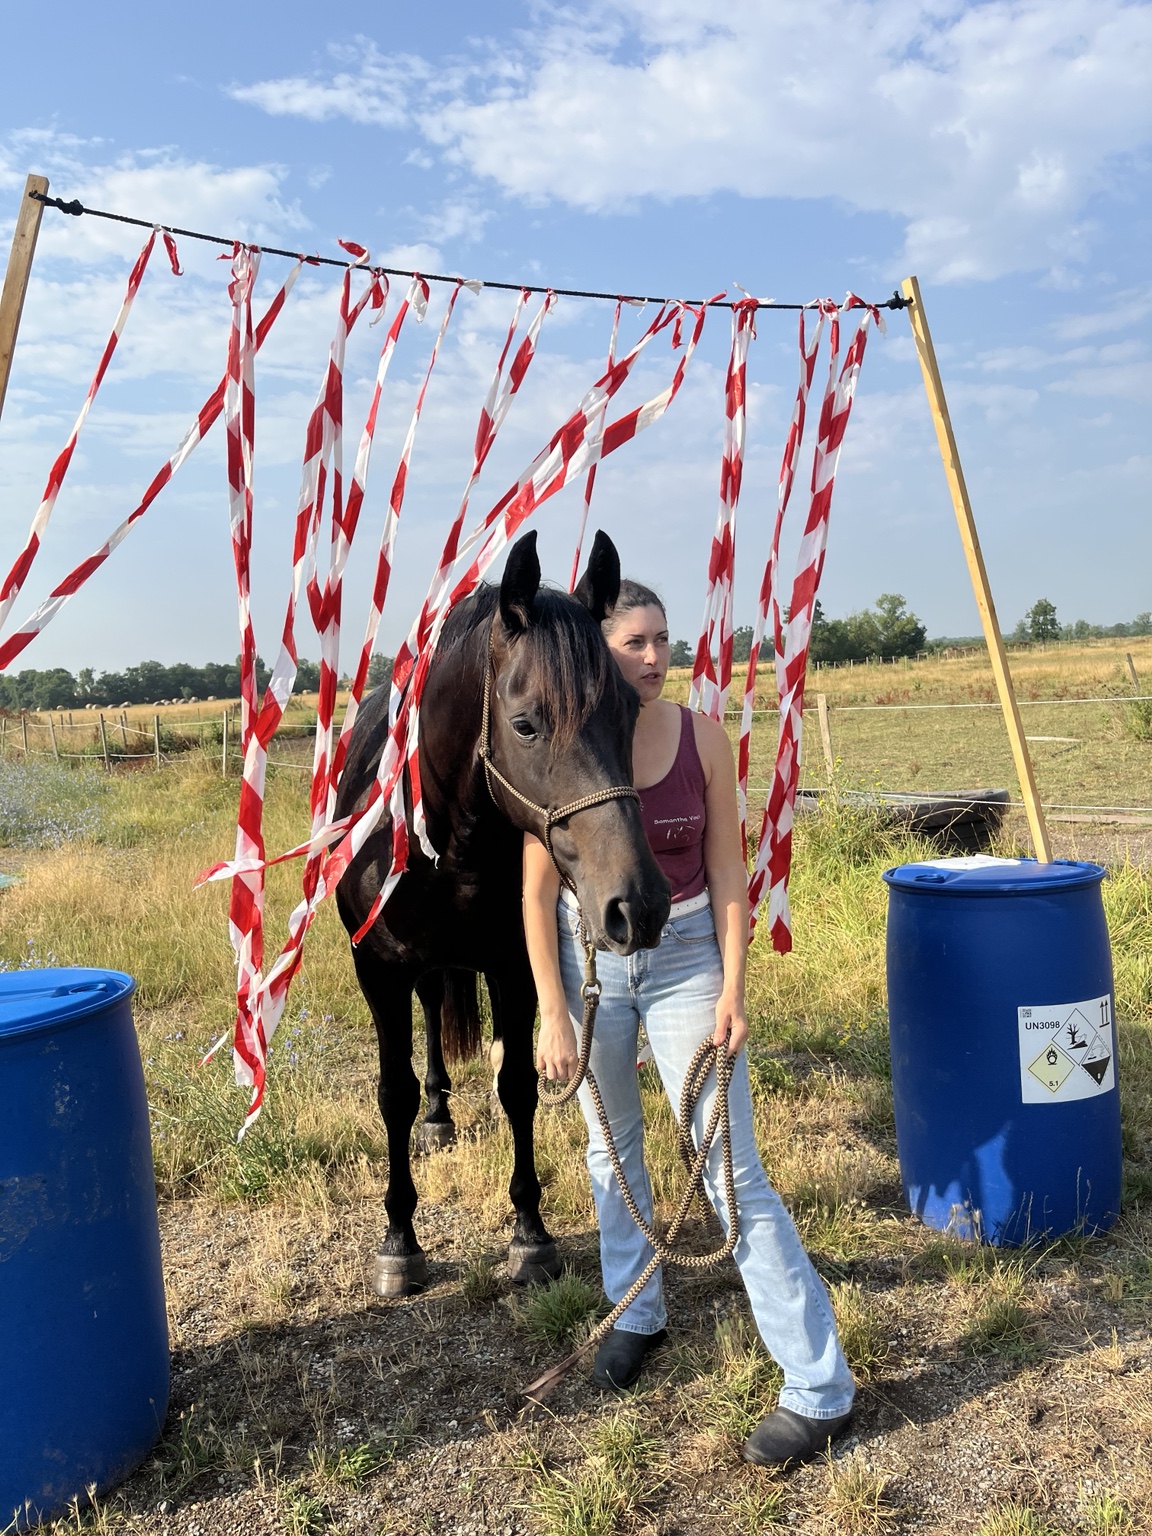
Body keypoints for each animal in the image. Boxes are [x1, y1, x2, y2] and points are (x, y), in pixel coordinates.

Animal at [334, 530, 671, 1296]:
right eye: (525, 724)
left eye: (629, 711)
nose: (636, 904)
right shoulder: (377, 969)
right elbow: (392, 1093)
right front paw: (399, 1240)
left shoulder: (515, 967)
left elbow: (517, 1086)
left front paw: (530, 1234)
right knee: (429, 1024)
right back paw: (436, 1116)